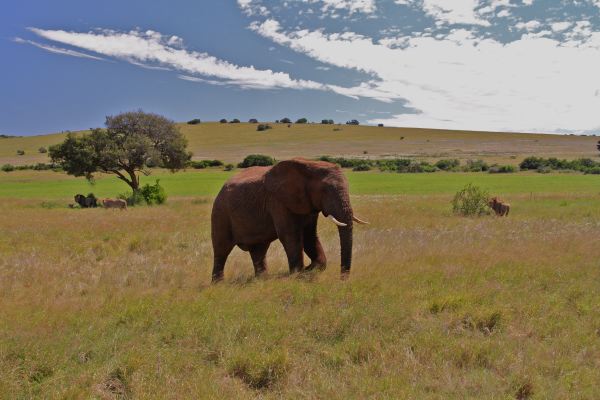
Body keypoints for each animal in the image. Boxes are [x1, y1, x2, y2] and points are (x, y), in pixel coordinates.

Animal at [209, 156, 368, 282]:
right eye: (325, 190)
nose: (342, 280)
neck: (310, 165)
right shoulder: (278, 201)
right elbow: (290, 235)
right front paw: (298, 274)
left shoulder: (308, 204)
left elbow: (310, 236)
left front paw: (309, 269)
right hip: (220, 213)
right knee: (221, 249)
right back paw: (218, 284)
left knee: (259, 249)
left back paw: (261, 280)